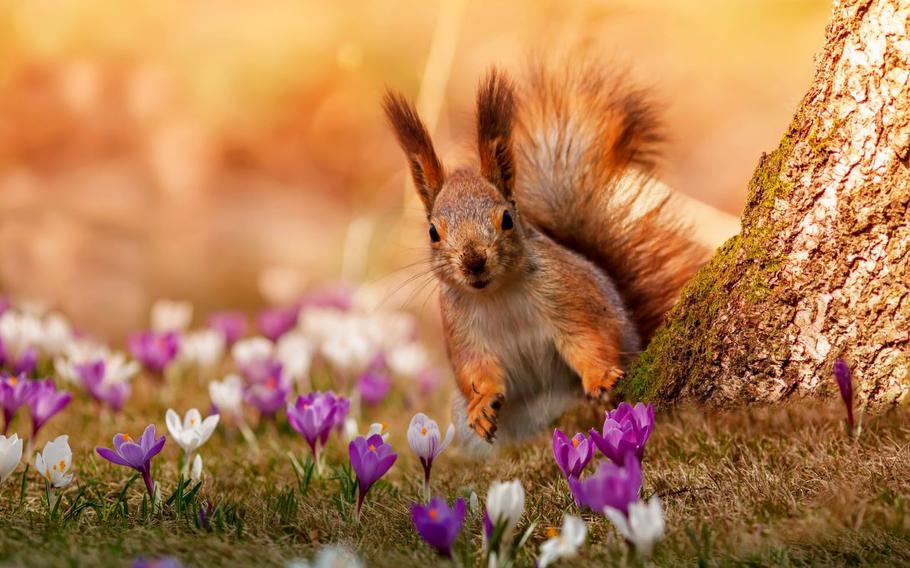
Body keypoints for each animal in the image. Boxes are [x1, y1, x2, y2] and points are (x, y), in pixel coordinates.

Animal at [382, 62, 708, 454]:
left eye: (507, 219)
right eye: (433, 232)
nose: (474, 261)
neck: (497, 293)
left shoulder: (568, 294)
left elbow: (588, 338)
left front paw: (600, 376)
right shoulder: (460, 327)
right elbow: (475, 368)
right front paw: (481, 404)